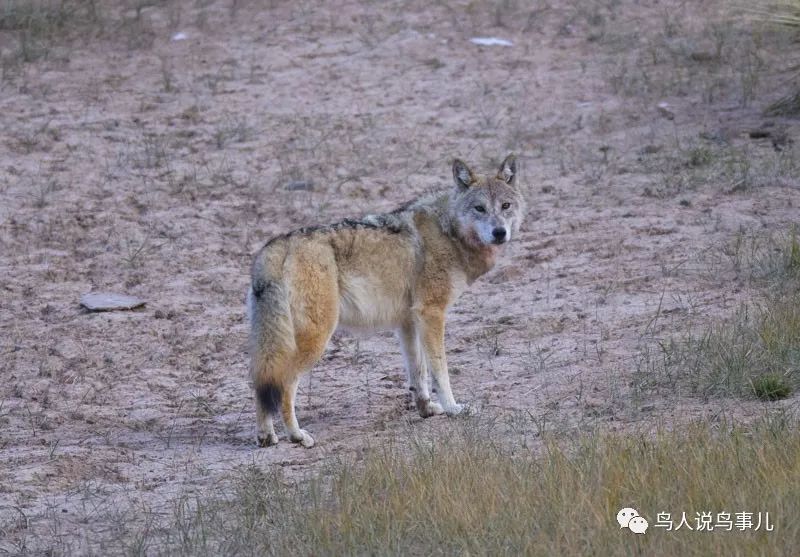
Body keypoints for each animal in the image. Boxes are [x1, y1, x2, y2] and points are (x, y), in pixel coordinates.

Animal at [247, 153, 528, 448]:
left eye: (505, 206)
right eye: (479, 208)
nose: (499, 232)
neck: (449, 231)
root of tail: (275, 247)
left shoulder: (408, 321)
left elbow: (418, 373)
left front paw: (426, 409)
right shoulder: (431, 313)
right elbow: (440, 370)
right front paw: (453, 408)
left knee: (261, 383)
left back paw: (266, 437)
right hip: (316, 339)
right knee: (284, 385)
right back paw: (297, 435)